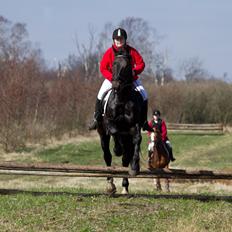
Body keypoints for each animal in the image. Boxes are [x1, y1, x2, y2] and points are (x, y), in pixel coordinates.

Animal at [96, 48, 143, 194]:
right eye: (113, 64)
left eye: (127, 66)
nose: (116, 85)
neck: (122, 98)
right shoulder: (110, 122)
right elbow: (114, 131)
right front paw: (117, 149)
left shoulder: (134, 125)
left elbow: (137, 140)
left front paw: (135, 167)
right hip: (102, 134)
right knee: (107, 156)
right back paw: (110, 184)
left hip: (127, 137)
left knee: (125, 158)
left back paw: (125, 186)